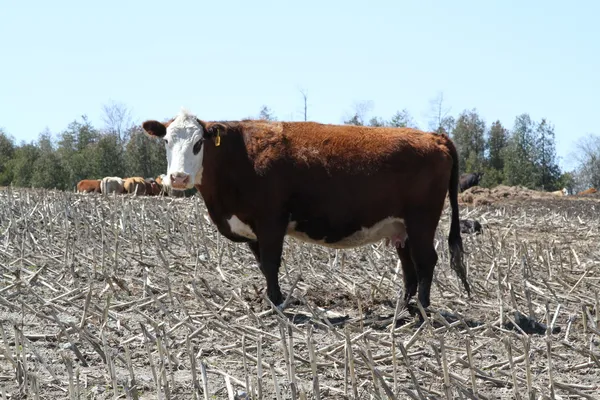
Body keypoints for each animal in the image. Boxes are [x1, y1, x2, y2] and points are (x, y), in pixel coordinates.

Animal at [142, 109, 474, 310]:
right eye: (167, 141)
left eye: (198, 144)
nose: (178, 177)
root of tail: (434, 136)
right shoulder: (252, 229)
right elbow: (263, 265)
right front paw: (273, 299)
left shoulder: (271, 221)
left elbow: (272, 264)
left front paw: (277, 303)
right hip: (400, 227)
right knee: (409, 268)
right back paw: (402, 309)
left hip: (422, 221)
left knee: (426, 262)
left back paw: (423, 311)